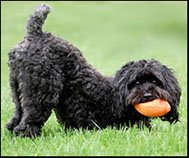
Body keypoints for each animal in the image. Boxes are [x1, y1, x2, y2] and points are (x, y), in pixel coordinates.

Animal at [5, 4, 181, 136]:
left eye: (155, 81)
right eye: (136, 82)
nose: (147, 96)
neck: (118, 94)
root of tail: (35, 35)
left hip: (17, 89)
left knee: (17, 115)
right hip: (41, 92)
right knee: (29, 119)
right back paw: (28, 134)